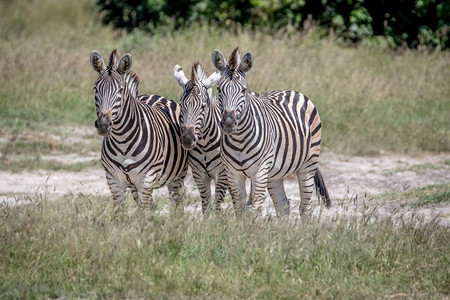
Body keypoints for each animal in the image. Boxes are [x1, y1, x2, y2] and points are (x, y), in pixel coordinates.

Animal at [89, 49, 187, 209]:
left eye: (120, 90)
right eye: (95, 89)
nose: (103, 124)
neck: (122, 141)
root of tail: (155, 95)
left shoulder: (147, 177)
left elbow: (145, 209)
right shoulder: (113, 178)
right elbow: (120, 210)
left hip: (177, 176)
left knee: (177, 202)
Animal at [173, 62, 229, 213]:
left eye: (203, 107)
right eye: (181, 104)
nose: (187, 139)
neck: (204, 145)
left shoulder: (221, 174)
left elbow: (217, 205)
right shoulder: (199, 175)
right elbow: (206, 205)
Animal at [211, 48, 330, 218]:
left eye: (243, 90)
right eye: (219, 89)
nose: (228, 123)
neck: (239, 140)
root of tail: (291, 91)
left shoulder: (260, 172)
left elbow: (255, 210)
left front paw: (252, 226)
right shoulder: (233, 174)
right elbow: (240, 210)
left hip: (308, 163)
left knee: (305, 208)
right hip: (275, 173)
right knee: (283, 205)